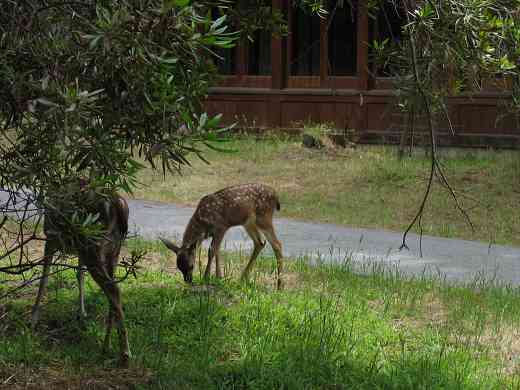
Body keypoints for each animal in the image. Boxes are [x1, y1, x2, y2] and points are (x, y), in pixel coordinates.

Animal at [30, 190, 131, 368]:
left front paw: (33, 320)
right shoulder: (78, 250)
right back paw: (106, 346)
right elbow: (79, 275)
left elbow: (44, 278)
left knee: (113, 290)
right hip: (112, 251)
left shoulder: (50, 236)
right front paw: (81, 314)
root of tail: (119, 206)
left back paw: (124, 354)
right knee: (113, 291)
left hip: (92, 245)